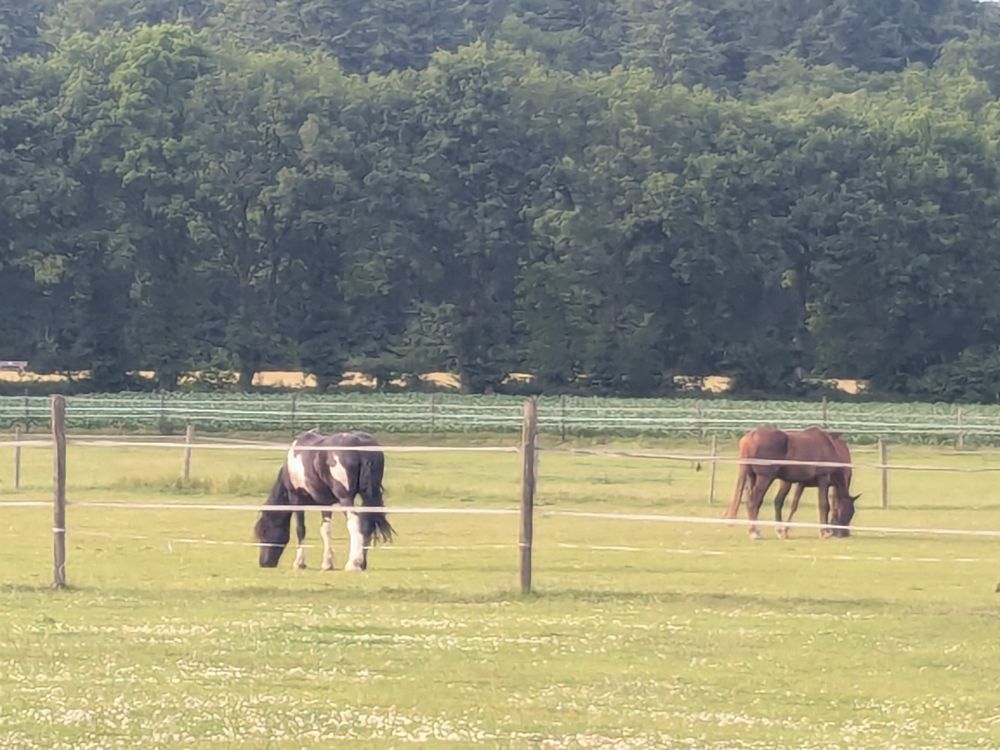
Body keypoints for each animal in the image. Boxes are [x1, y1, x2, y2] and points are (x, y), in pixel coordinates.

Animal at [253, 430, 394, 570]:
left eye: (264, 531)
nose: (264, 563)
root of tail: (360, 445)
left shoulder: (297, 499)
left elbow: (300, 529)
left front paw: (299, 562)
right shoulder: (326, 503)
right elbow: (326, 530)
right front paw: (327, 563)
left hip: (345, 499)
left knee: (354, 522)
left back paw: (353, 564)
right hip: (369, 496)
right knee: (367, 523)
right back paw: (362, 563)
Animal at [724, 426, 859, 539]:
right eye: (846, 512)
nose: (844, 534)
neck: (830, 447)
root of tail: (749, 437)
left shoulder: (802, 483)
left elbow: (793, 505)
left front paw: (784, 531)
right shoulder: (823, 479)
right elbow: (824, 505)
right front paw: (824, 532)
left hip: (753, 477)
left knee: (754, 502)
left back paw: (756, 530)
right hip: (764, 478)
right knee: (753, 502)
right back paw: (754, 532)